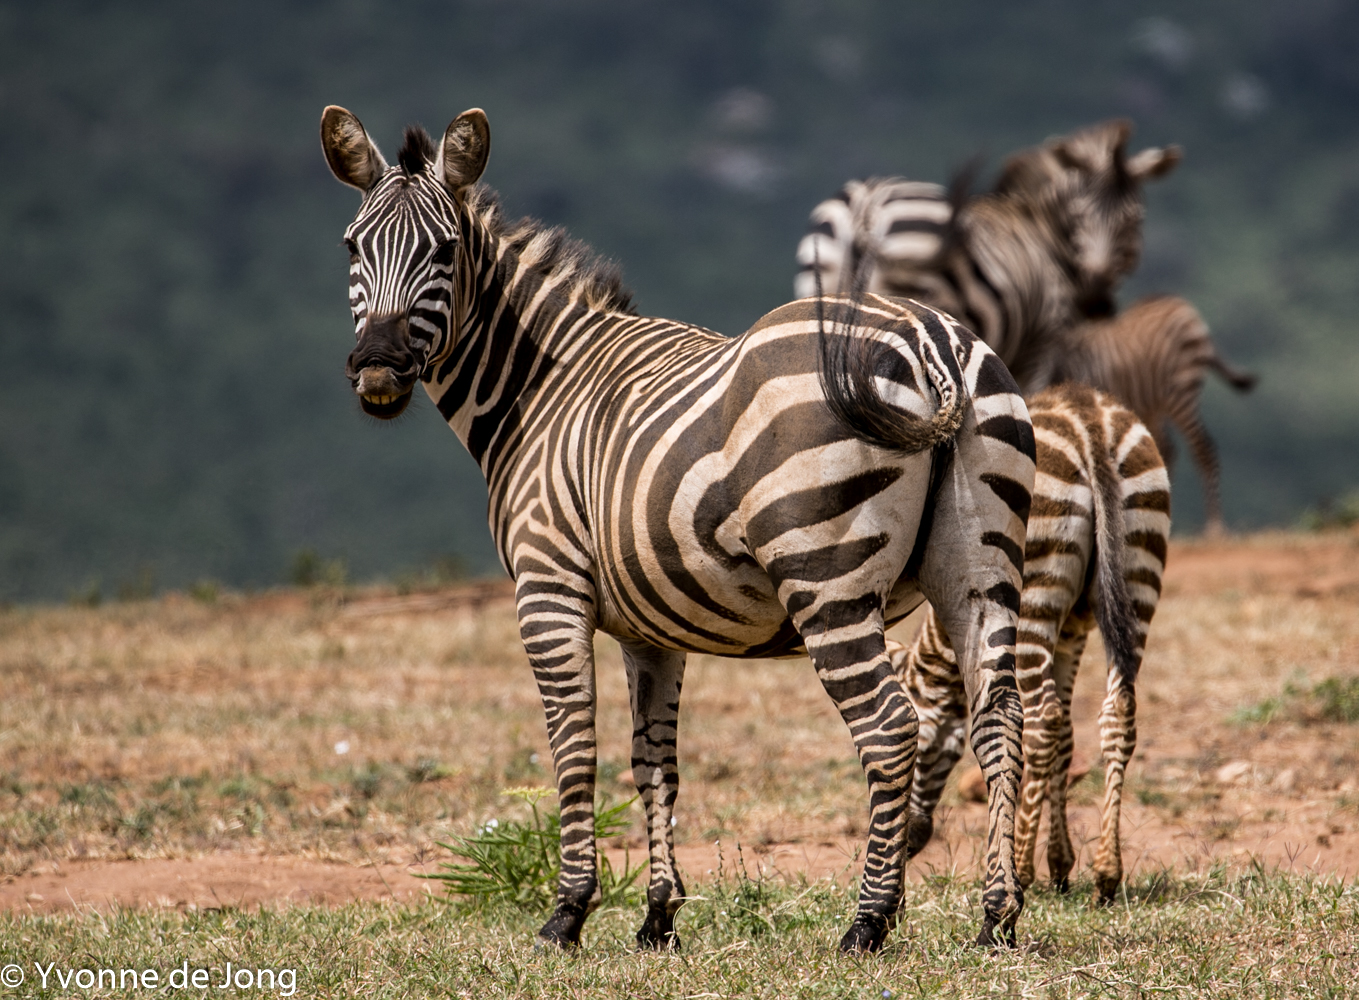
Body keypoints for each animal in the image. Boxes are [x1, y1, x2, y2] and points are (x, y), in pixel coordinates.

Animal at [321, 105, 1036, 953]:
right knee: (999, 716)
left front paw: (567, 912)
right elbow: (652, 761)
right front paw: (657, 916)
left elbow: (575, 747)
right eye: (352, 246)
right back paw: (996, 916)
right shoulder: (650, 628)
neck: (540, 389)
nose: (376, 370)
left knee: (891, 728)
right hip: (979, 569)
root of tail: (934, 341)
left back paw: (868, 921)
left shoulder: (547, 589)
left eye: (444, 249)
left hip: (825, 575)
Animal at [795, 120, 1182, 393]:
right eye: (1078, 218)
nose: (1096, 303)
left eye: (1133, 219)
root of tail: (867, 202)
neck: (1043, 229)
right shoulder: (1042, 345)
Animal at [886, 382, 1170, 904]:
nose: (913, 842)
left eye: (928, 746)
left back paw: (1020, 862)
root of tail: (1088, 421)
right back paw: (1107, 871)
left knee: (1042, 721)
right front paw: (1061, 863)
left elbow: (1038, 731)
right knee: (1116, 714)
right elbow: (1068, 738)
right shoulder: (1073, 631)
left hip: (1034, 590)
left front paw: (1032, 864)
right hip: (1139, 570)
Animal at [1055, 295, 1255, 535]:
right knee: (1165, 449)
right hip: (1152, 408)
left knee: (1203, 449)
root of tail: (1181, 304)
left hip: (1181, 392)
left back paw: (1214, 528)